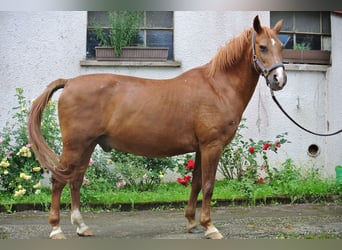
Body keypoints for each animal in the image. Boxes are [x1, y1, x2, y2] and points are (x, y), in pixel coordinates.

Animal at [28, 16, 286, 240]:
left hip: (87, 145)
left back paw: (81, 226)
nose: (279, 80)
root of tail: (70, 82)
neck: (217, 87)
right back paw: (56, 229)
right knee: (59, 180)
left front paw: (192, 222)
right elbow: (209, 186)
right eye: (262, 47)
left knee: (76, 179)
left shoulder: (200, 148)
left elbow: (196, 183)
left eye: (282, 46)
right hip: (75, 145)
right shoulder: (212, 146)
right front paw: (210, 227)